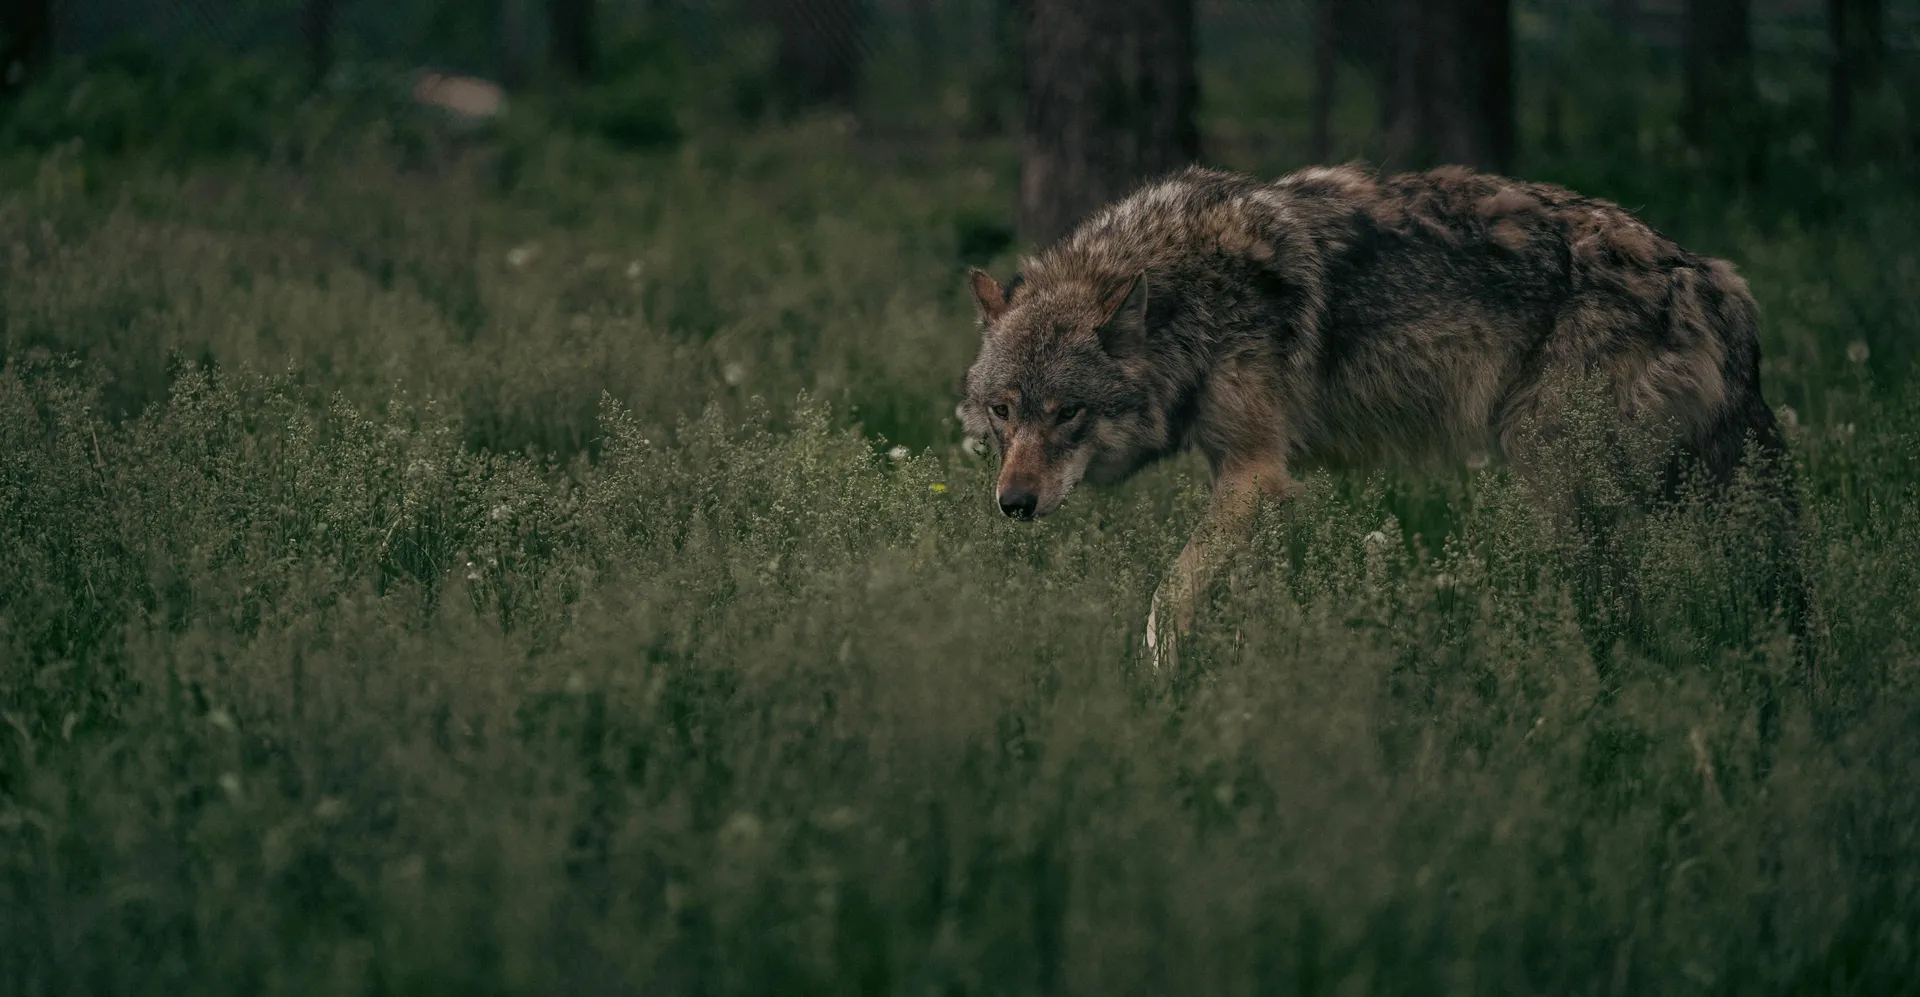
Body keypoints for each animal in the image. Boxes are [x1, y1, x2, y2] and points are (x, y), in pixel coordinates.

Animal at [967, 162, 1804, 672]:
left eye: (1068, 411)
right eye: (1004, 411)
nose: (1013, 504)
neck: (1187, 299)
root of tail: (1711, 280)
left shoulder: (1256, 474)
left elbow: (1165, 598)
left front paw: (1159, 690)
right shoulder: (1247, 481)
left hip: (1561, 474)